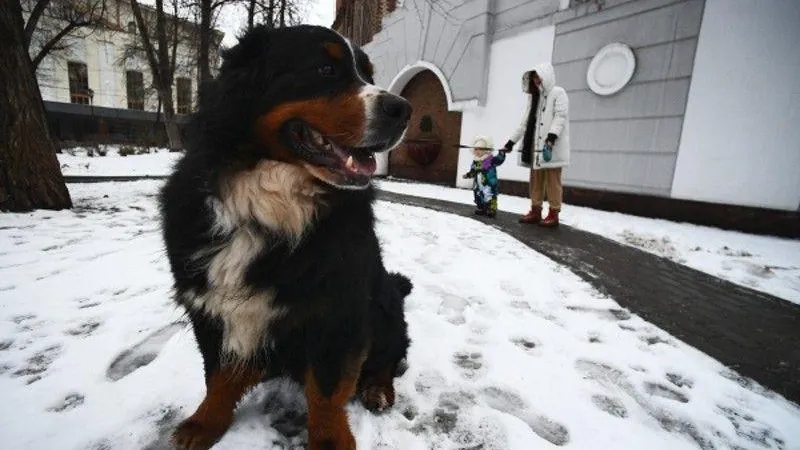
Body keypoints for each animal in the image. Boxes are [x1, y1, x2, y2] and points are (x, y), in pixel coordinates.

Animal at [160, 24, 416, 450]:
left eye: (369, 75)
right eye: (325, 69)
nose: (403, 109)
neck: (268, 204)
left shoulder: (338, 311)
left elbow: (326, 391)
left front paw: (329, 441)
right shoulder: (208, 304)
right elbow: (218, 376)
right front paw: (206, 422)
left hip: (385, 304)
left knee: (390, 356)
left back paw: (378, 389)